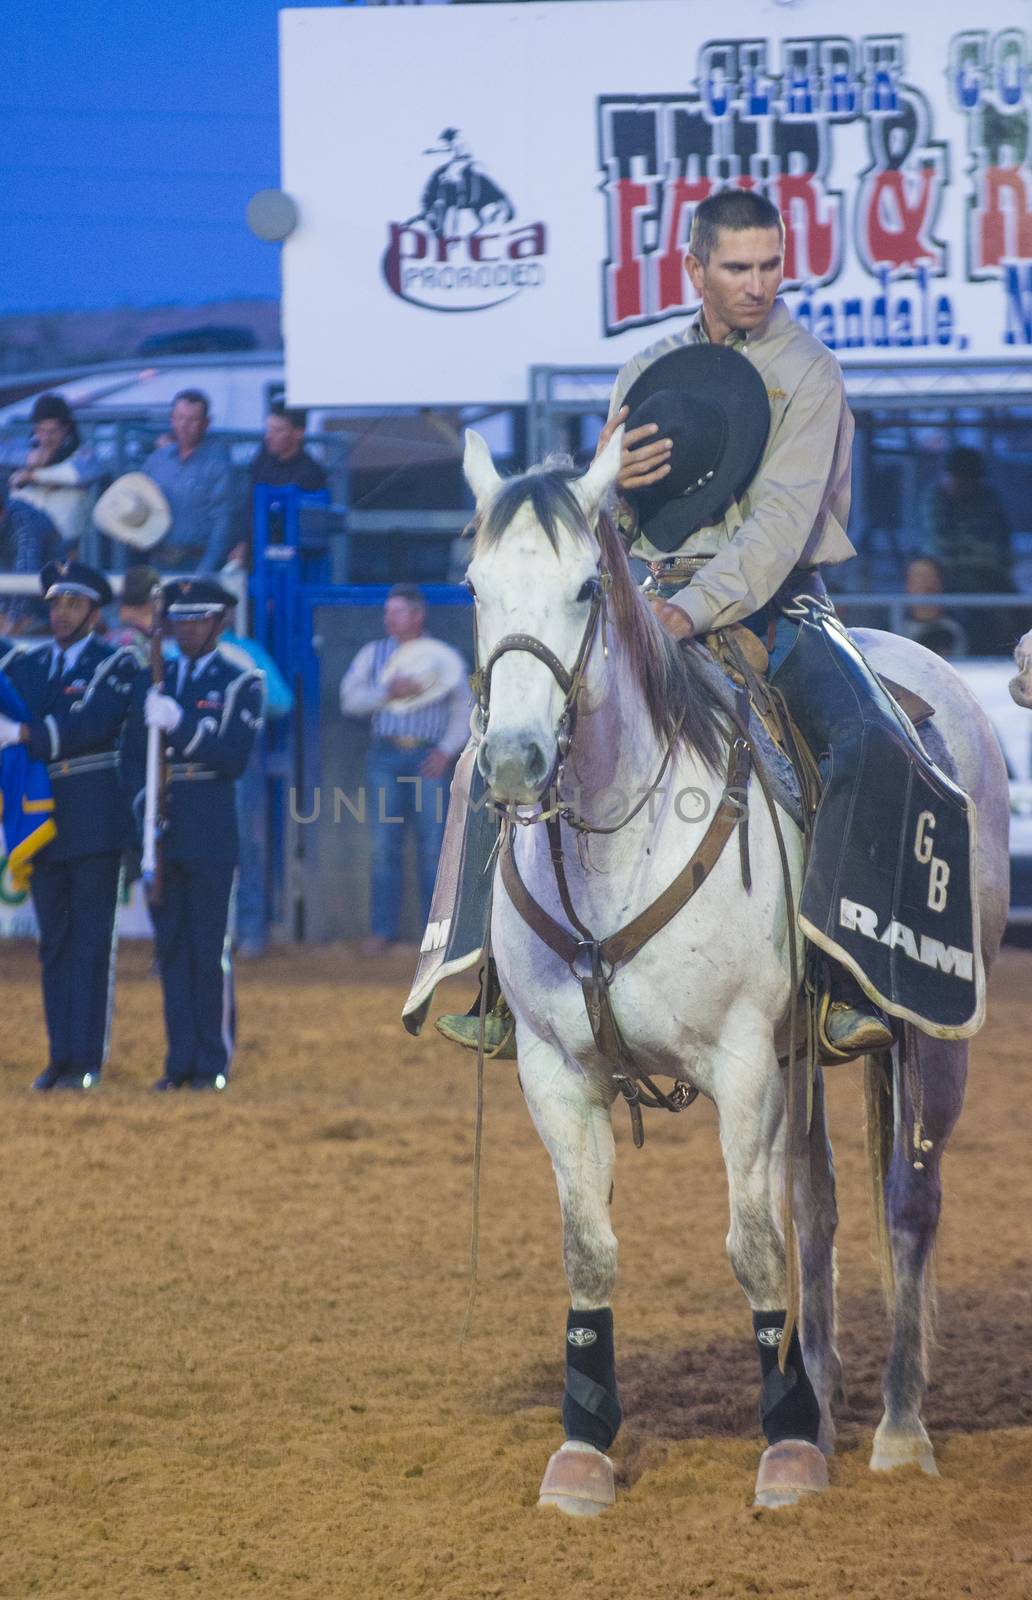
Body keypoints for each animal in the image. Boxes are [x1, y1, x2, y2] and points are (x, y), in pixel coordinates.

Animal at [464, 425, 1011, 1510]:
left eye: (588, 586)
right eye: (474, 585)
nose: (511, 760)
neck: (615, 851)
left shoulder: (743, 1061)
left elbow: (753, 1245)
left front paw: (786, 1449)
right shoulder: (556, 1070)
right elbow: (590, 1250)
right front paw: (583, 1451)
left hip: (934, 1042)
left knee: (907, 1204)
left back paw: (897, 1426)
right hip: (806, 1052)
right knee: (820, 1203)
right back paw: (830, 1401)